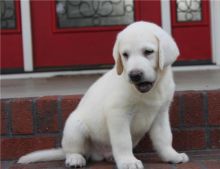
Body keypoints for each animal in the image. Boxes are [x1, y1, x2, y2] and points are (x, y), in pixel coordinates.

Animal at [18, 21, 188, 169]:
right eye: (125, 55)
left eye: (148, 52)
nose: (134, 75)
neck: (151, 91)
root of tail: (97, 153)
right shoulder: (118, 113)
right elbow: (123, 141)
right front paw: (128, 161)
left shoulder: (160, 114)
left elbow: (164, 138)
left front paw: (172, 156)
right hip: (75, 128)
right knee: (72, 150)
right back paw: (75, 159)